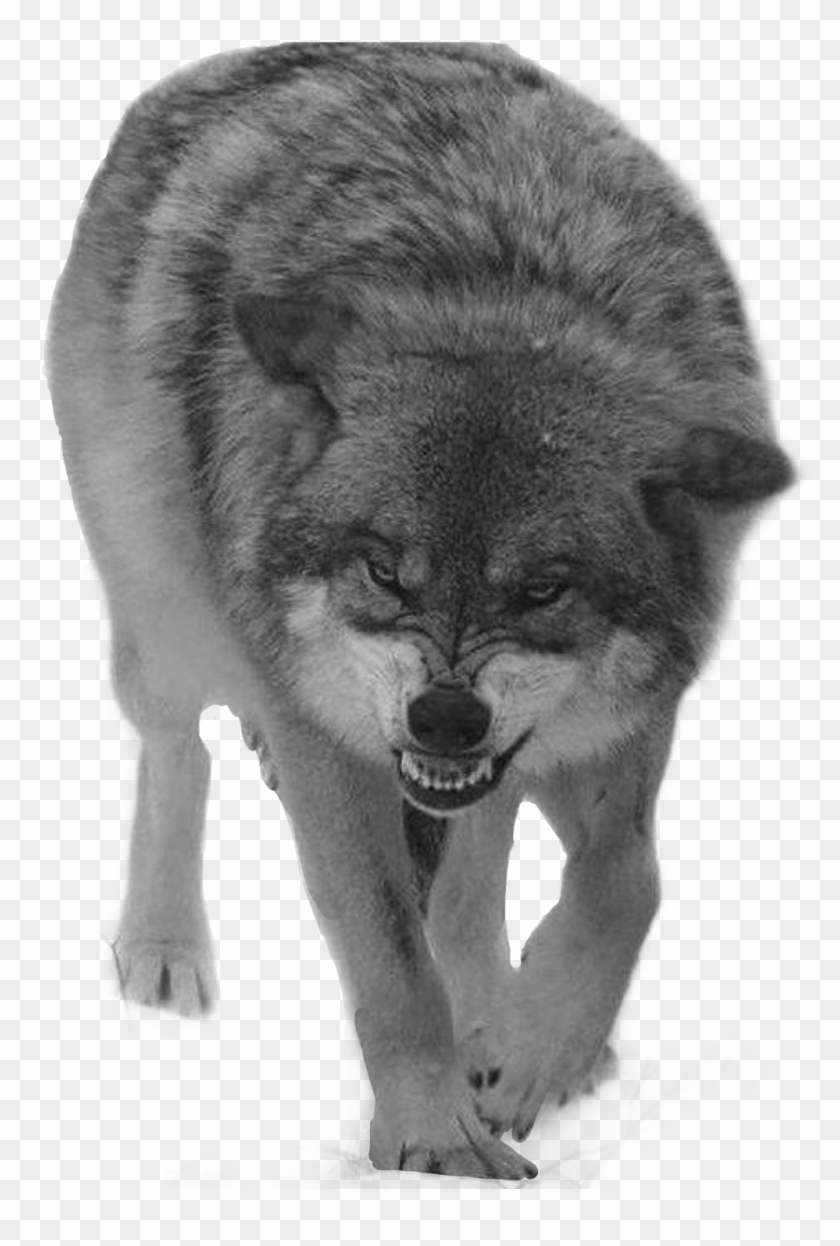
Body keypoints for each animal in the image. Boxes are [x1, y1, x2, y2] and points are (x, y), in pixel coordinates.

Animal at [45, 42, 794, 1179]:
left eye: (544, 588)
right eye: (384, 572)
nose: (444, 718)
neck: (508, 294)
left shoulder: (619, 722)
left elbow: (626, 880)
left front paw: (535, 1052)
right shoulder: (330, 741)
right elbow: (397, 968)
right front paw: (435, 1147)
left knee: (474, 875)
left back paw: (497, 1020)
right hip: (164, 617)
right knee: (180, 751)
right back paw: (166, 948)